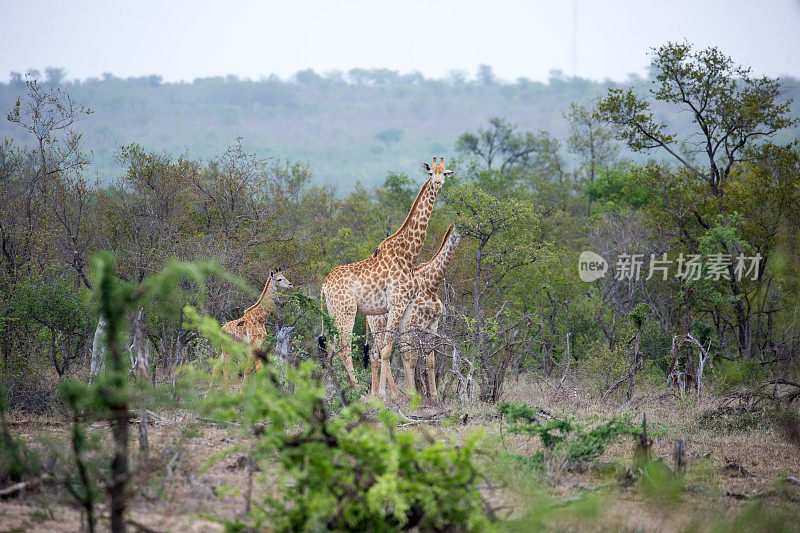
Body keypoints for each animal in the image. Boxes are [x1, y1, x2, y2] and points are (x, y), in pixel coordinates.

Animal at [322, 157, 454, 394]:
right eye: (431, 173)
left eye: (445, 173)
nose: (438, 184)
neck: (408, 254)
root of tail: (324, 286)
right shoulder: (397, 304)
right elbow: (388, 350)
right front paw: (385, 394)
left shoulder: (405, 308)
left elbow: (399, 350)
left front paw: (403, 394)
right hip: (347, 312)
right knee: (345, 349)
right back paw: (359, 392)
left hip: (333, 312)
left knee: (330, 347)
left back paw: (335, 389)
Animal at [368, 223, 462, 400]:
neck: (431, 285)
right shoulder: (413, 324)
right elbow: (411, 360)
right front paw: (413, 393)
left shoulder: (432, 325)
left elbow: (429, 360)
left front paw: (434, 395)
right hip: (379, 327)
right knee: (378, 353)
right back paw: (384, 393)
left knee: (377, 353)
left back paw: (381, 393)